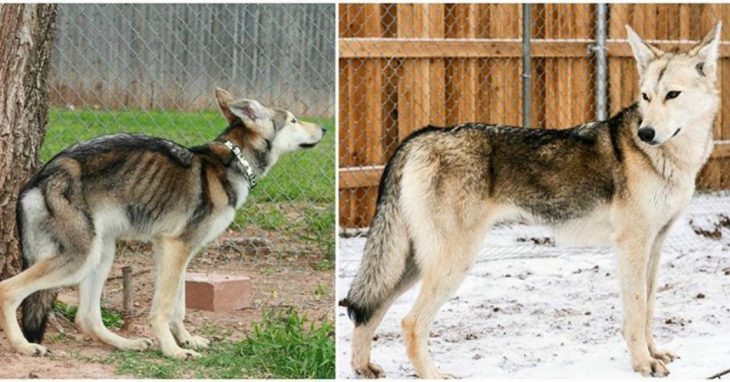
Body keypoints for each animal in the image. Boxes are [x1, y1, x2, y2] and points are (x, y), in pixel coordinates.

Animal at [0, 88, 324, 360]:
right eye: (293, 120)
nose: (324, 128)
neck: (234, 162)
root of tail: (39, 178)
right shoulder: (176, 247)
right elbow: (164, 308)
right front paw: (173, 351)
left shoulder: (172, 250)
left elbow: (178, 306)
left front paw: (187, 340)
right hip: (79, 259)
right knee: (8, 290)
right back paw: (24, 347)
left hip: (102, 253)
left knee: (87, 318)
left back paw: (127, 344)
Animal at [344, 23, 720, 380]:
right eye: (646, 96)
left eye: (672, 94)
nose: (646, 133)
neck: (674, 159)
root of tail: (419, 137)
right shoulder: (632, 245)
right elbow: (637, 310)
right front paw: (643, 364)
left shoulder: (655, 244)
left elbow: (650, 306)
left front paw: (655, 354)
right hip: (451, 261)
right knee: (409, 323)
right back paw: (433, 374)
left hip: (413, 262)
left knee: (369, 309)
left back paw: (363, 368)